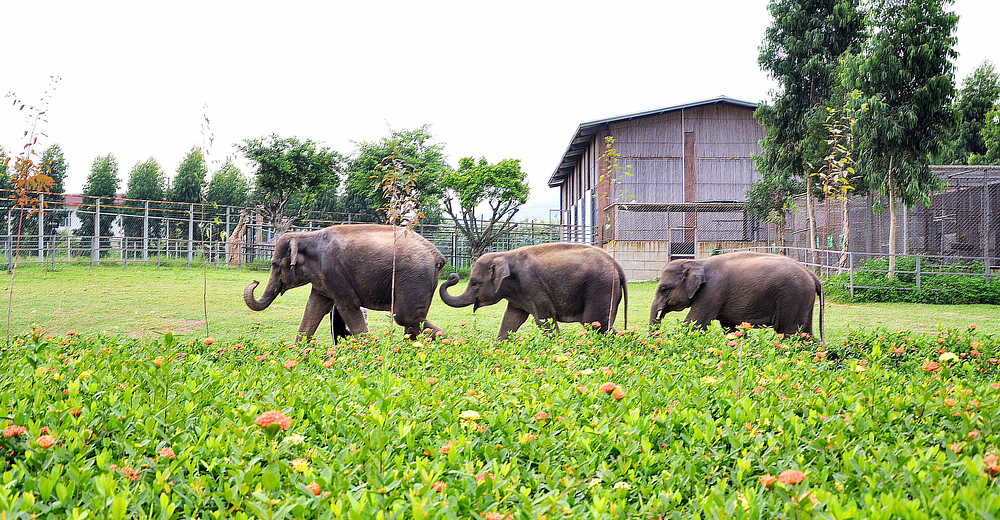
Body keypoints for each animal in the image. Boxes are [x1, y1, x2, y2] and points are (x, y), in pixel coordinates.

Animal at [242, 222, 446, 342]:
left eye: (274, 265)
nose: (255, 281)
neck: (307, 236)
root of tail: (437, 255)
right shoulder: (322, 281)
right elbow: (314, 308)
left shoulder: (335, 273)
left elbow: (348, 307)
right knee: (412, 319)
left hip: (414, 277)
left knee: (406, 317)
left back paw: (444, 338)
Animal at [438, 244, 624, 342]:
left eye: (474, 283)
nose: (452, 276)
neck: (505, 254)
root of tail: (617, 266)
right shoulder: (518, 295)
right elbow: (511, 319)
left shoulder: (532, 285)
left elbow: (544, 319)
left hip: (600, 288)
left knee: (594, 323)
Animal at [648, 251, 828, 342]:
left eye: (663, 289)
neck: (698, 262)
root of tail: (812, 275)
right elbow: (730, 328)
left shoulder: (712, 291)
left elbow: (695, 323)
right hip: (804, 298)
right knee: (805, 334)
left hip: (793, 297)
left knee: (788, 333)